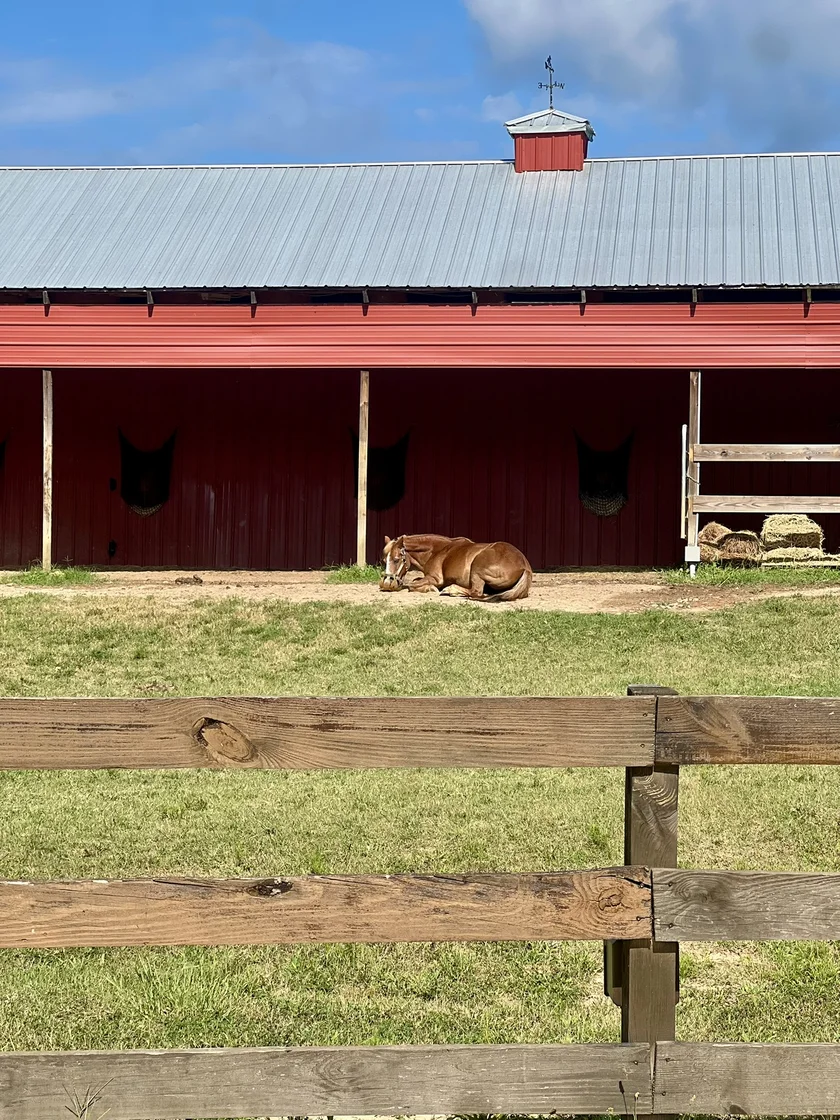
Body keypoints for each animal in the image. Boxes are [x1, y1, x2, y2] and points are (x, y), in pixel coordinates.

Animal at [381, 533, 532, 602]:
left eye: (396, 560)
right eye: (384, 560)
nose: (387, 584)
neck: (435, 551)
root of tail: (525, 566)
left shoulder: (434, 579)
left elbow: (413, 585)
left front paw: (431, 589)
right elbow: (414, 581)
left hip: (477, 568)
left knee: (476, 593)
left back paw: (451, 590)